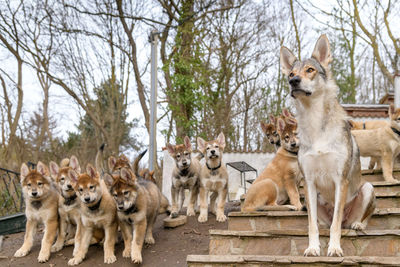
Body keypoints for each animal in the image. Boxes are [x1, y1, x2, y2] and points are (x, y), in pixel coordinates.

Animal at [280, 34, 376, 256]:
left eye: (310, 70)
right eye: (291, 73)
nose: (293, 81)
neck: (315, 123)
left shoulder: (340, 180)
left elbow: (336, 224)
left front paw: (334, 249)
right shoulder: (308, 182)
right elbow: (311, 225)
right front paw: (313, 248)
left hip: (367, 188)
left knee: (358, 220)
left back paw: (358, 224)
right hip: (313, 197)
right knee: (322, 222)